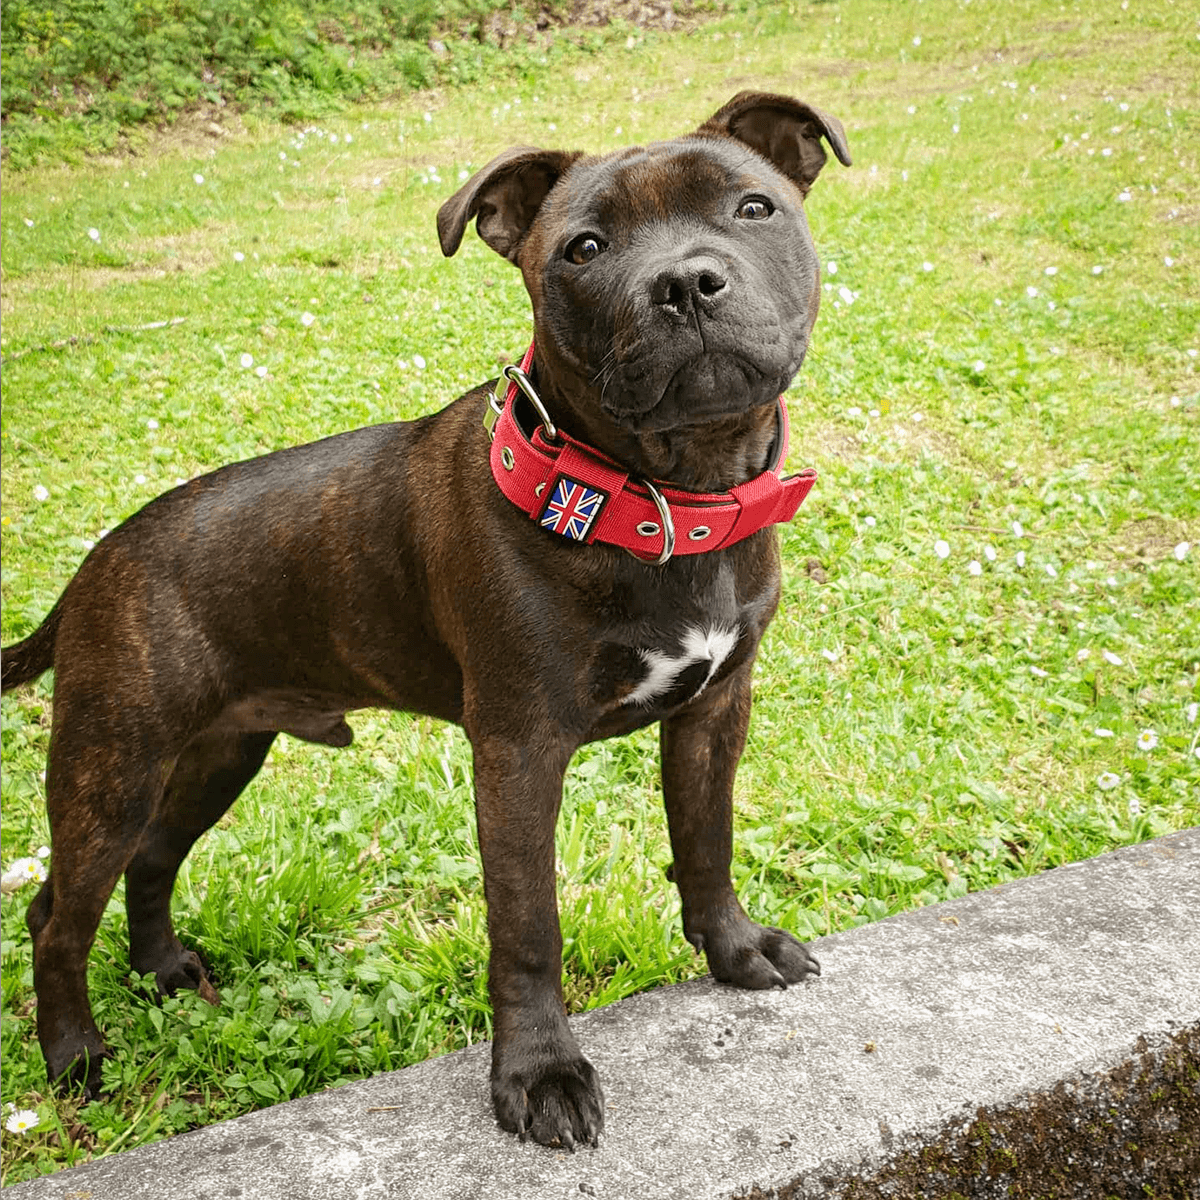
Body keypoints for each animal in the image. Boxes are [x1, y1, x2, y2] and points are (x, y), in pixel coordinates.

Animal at [0, 91, 849, 1142]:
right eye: (585, 248)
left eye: (752, 207)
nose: (686, 283)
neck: (661, 497)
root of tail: (93, 567)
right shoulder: (519, 753)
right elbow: (527, 926)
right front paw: (540, 1074)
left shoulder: (712, 714)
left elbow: (706, 843)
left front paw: (735, 954)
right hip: (112, 767)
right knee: (58, 916)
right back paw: (76, 1054)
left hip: (216, 753)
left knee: (151, 860)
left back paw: (161, 969)